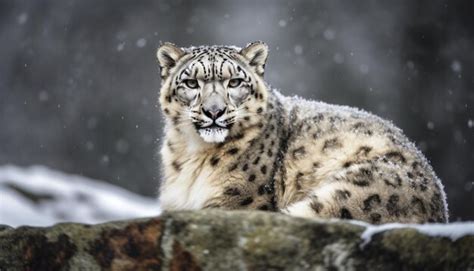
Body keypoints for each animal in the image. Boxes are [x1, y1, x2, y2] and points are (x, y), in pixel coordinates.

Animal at [156, 41, 448, 224]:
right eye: (191, 83)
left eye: (235, 82)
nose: (214, 111)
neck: (193, 155)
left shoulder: (238, 201)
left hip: (357, 193)